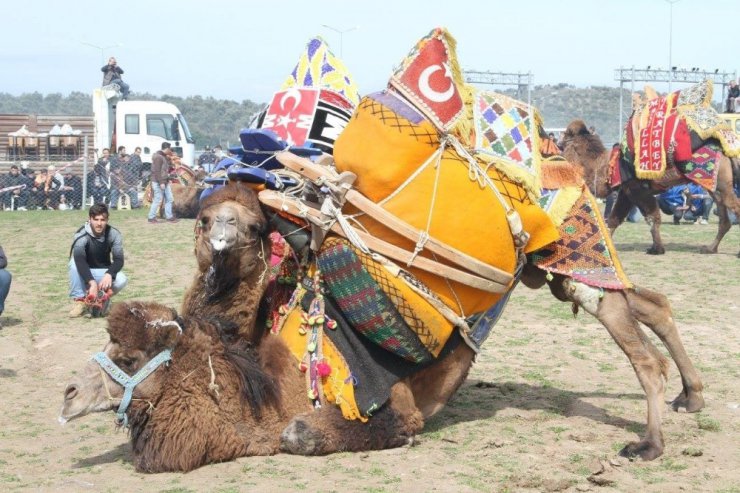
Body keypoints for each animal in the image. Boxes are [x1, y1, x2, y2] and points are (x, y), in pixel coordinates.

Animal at [560, 119, 740, 256]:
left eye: (565, 135)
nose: (559, 143)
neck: (605, 167)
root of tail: (728, 149)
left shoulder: (638, 190)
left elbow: (653, 218)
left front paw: (657, 249)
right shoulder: (627, 192)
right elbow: (614, 219)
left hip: (721, 183)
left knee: (734, 207)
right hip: (714, 186)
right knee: (724, 217)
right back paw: (710, 249)